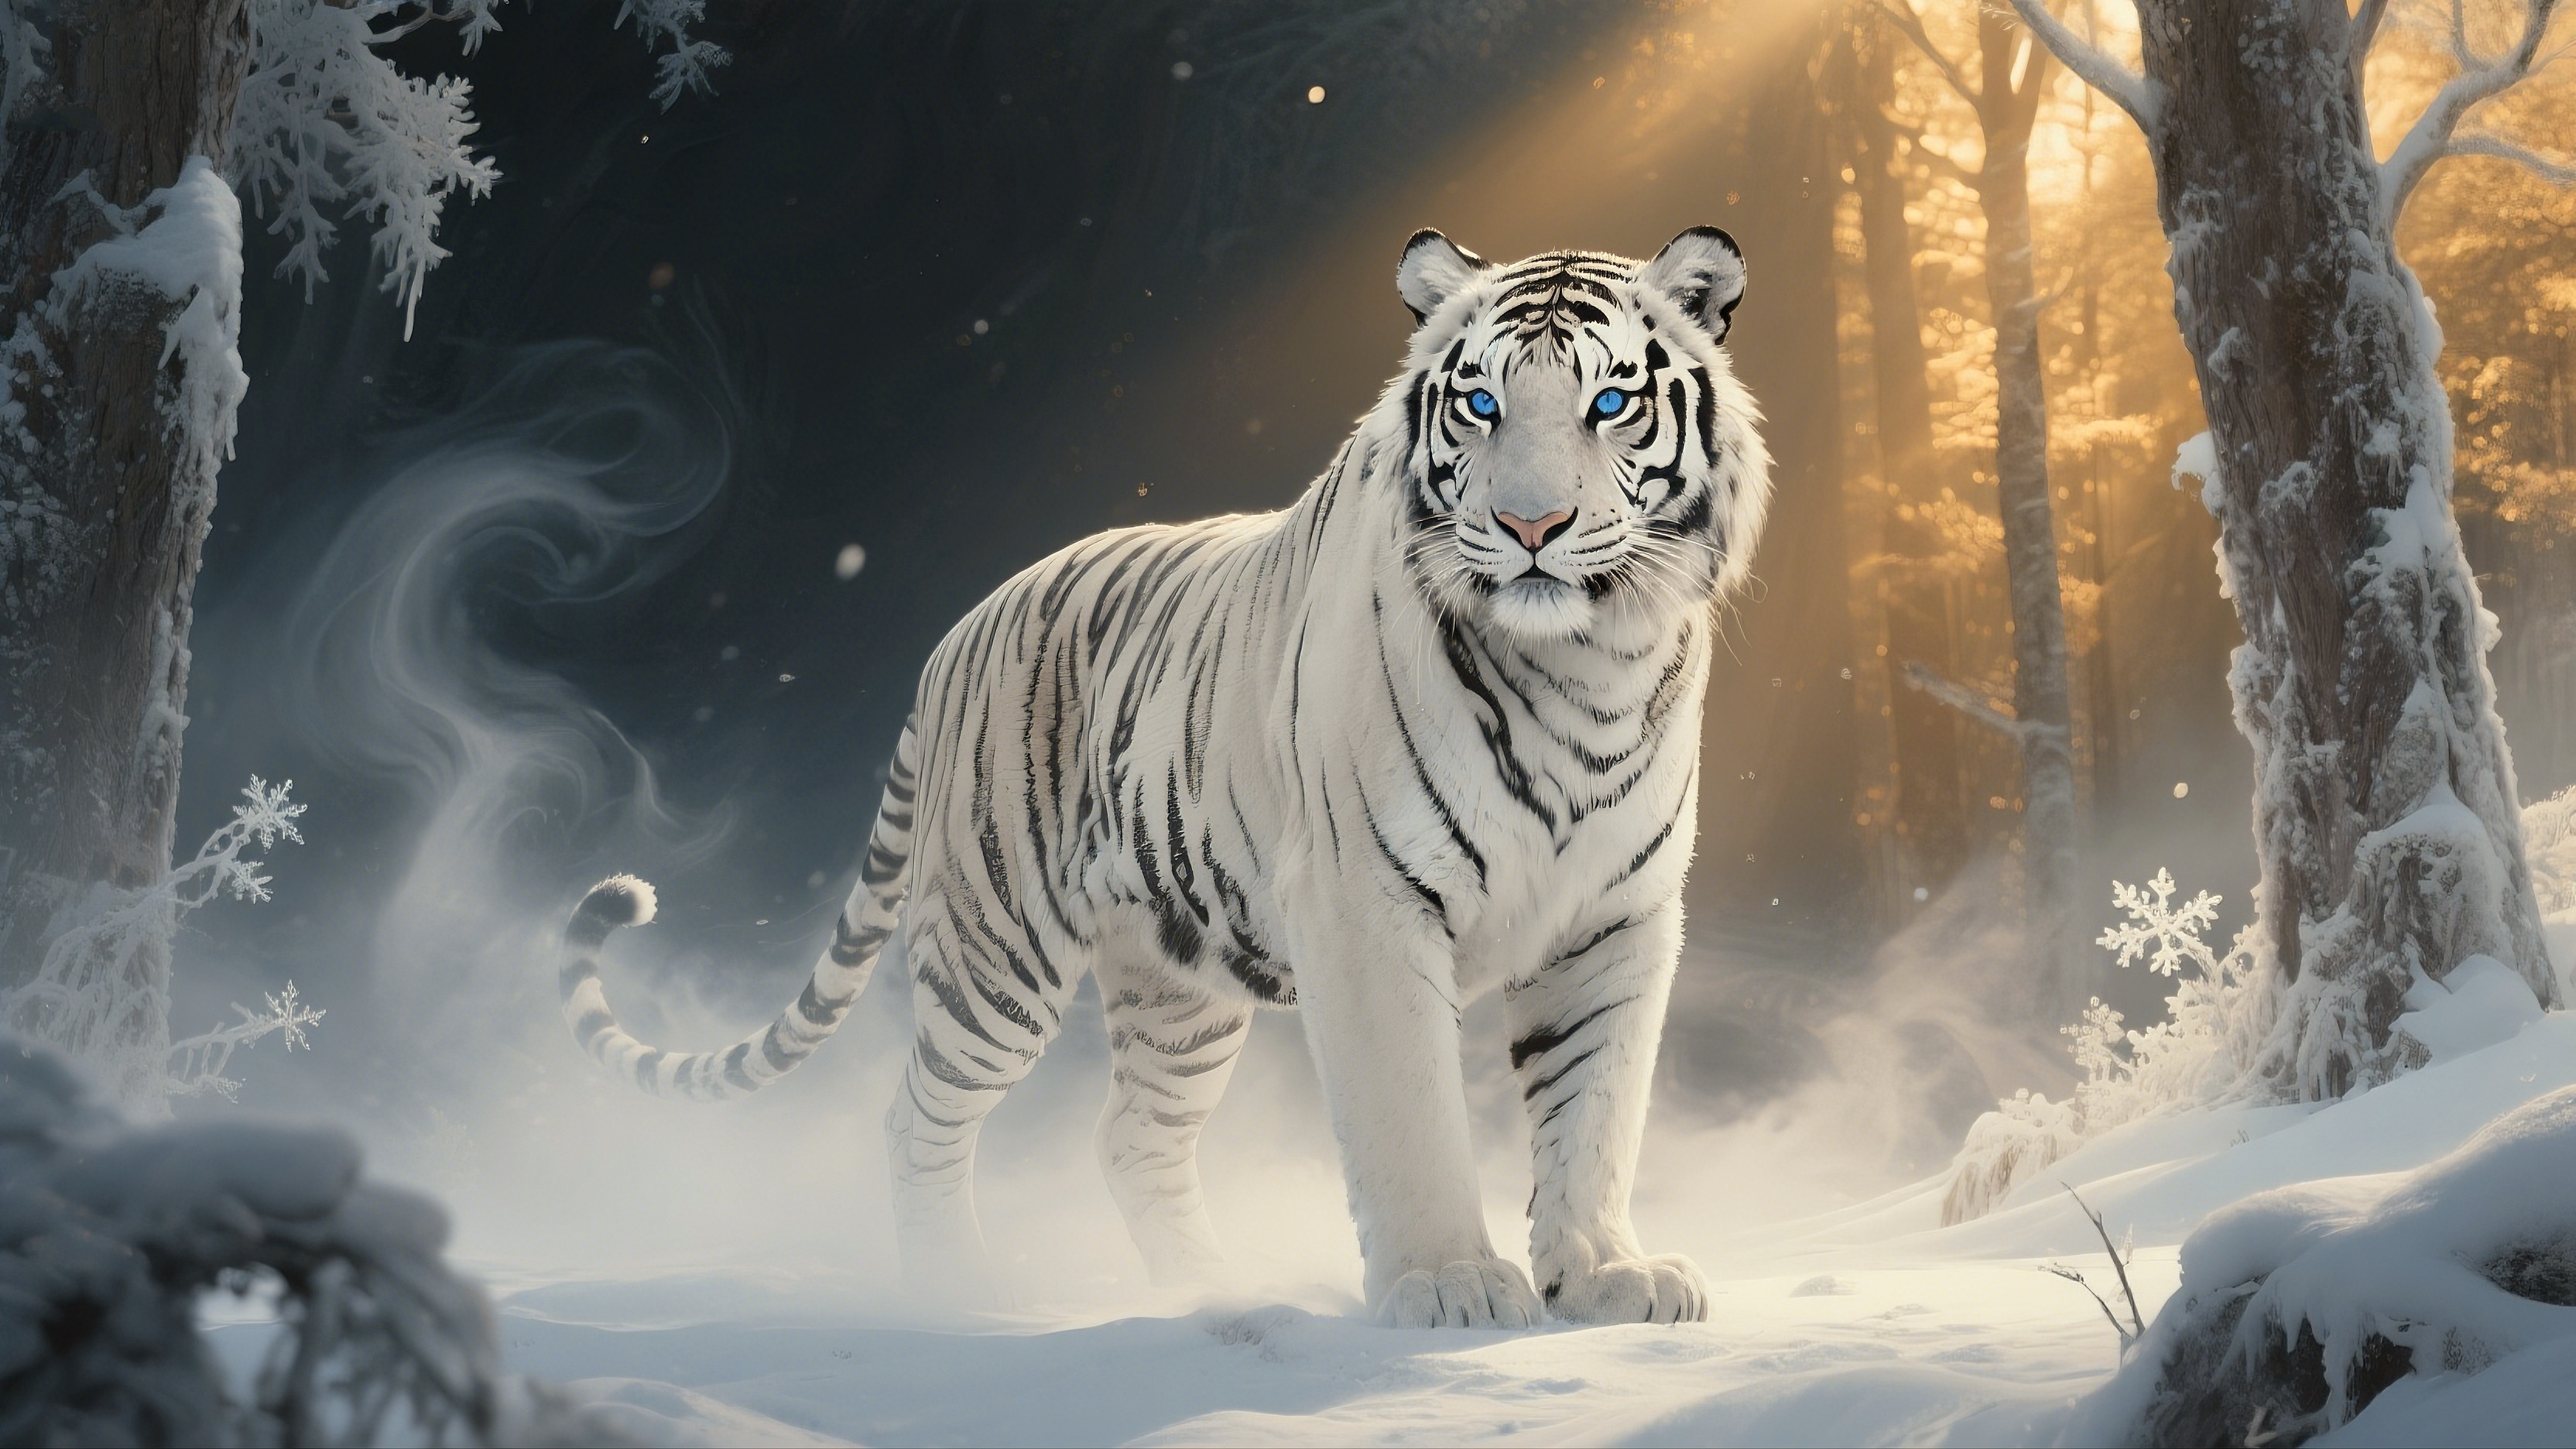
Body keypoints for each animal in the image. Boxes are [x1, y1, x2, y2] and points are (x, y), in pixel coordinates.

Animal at [558, 227, 1772, 1328]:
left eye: (1609, 404)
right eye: (1479, 404)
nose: (1530, 525)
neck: (1585, 668)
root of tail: (956, 635)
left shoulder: (1615, 917)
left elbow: (1596, 1112)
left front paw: (1608, 1277)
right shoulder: (1365, 906)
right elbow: (1412, 1114)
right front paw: (1449, 1287)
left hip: (1180, 981)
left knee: (1130, 1138)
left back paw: (1212, 1289)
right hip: (998, 950)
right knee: (917, 1117)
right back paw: (957, 1294)